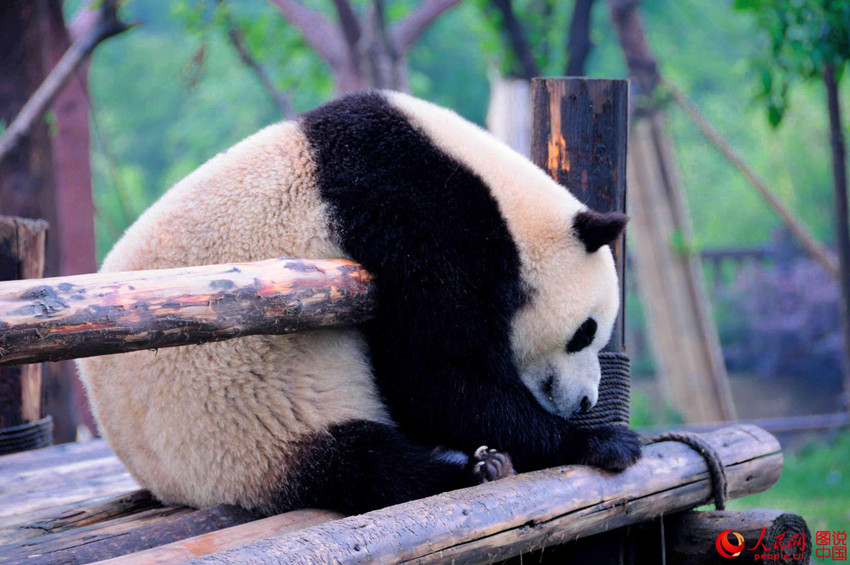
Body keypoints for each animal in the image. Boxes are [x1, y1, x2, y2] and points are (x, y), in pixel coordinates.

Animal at [76, 91, 640, 516]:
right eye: (586, 332)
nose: (586, 402)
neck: (501, 202)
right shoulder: (418, 214)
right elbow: (438, 376)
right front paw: (604, 442)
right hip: (234, 423)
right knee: (361, 465)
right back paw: (474, 470)